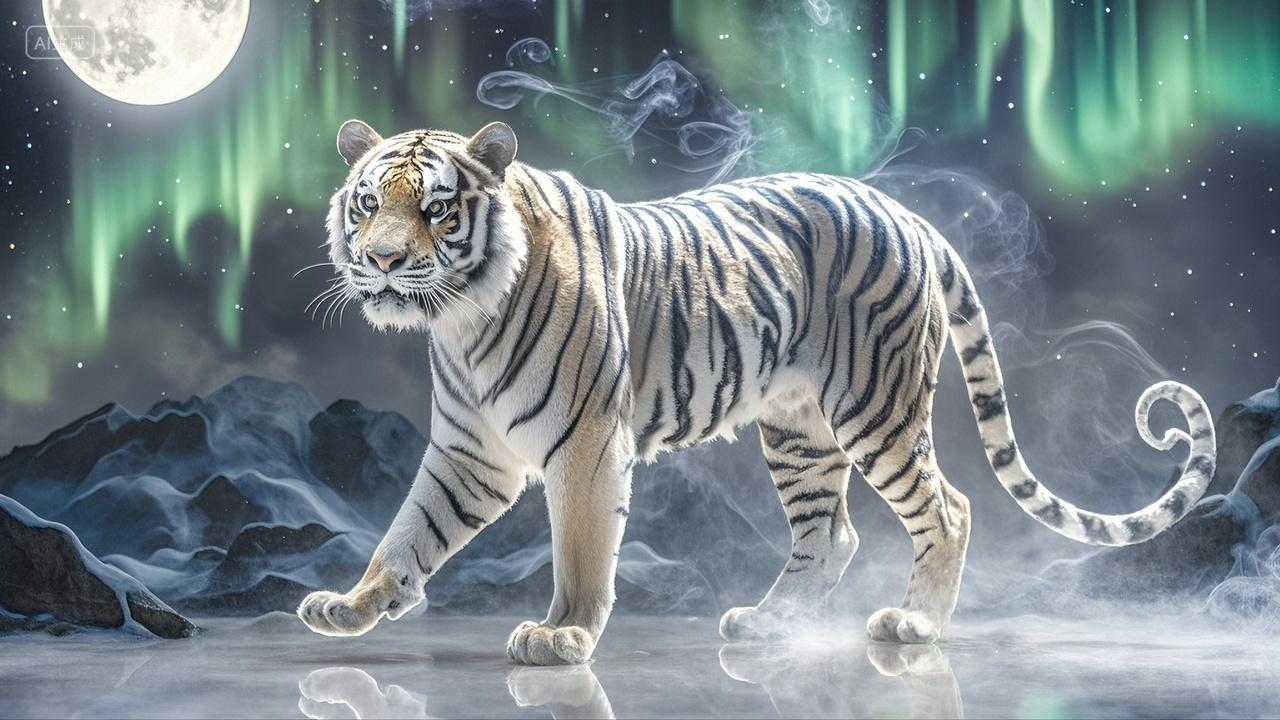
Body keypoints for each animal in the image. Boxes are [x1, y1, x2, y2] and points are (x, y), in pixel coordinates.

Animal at [297, 119, 1217, 665]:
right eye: (368, 203)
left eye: (437, 210)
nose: (380, 260)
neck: (460, 317)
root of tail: (905, 211)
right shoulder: (471, 452)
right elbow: (407, 533)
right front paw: (354, 605)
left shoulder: (586, 442)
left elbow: (583, 550)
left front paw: (563, 634)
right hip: (801, 432)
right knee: (832, 534)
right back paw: (771, 623)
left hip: (877, 410)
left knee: (948, 509)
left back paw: (913, 626)